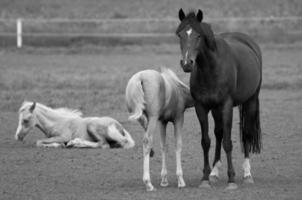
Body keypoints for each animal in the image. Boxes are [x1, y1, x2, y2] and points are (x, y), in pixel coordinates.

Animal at [176, 8, 264, 190]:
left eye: (199, 35)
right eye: (180, 34)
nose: (187, 63)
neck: (211, 69)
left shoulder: (226, 106)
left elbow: (228, 142)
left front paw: (231, 180)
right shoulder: (201, 107)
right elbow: (206, 141)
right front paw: (205, 178)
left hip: (251, 101)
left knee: (246, 133)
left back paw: (247, 174)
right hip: (216, 109)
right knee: (218, 133)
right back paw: (215, 172)